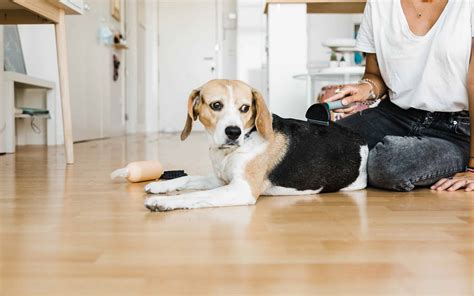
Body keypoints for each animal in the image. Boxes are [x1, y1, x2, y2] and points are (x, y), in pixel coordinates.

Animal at [143, 80, 366, 212]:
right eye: (216, 105)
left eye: (245, 108)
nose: (233, 132)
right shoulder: (221, 179)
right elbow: (187, 178)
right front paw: (160, 185)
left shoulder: (242, 189)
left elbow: (197, 195)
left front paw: (165, 202)